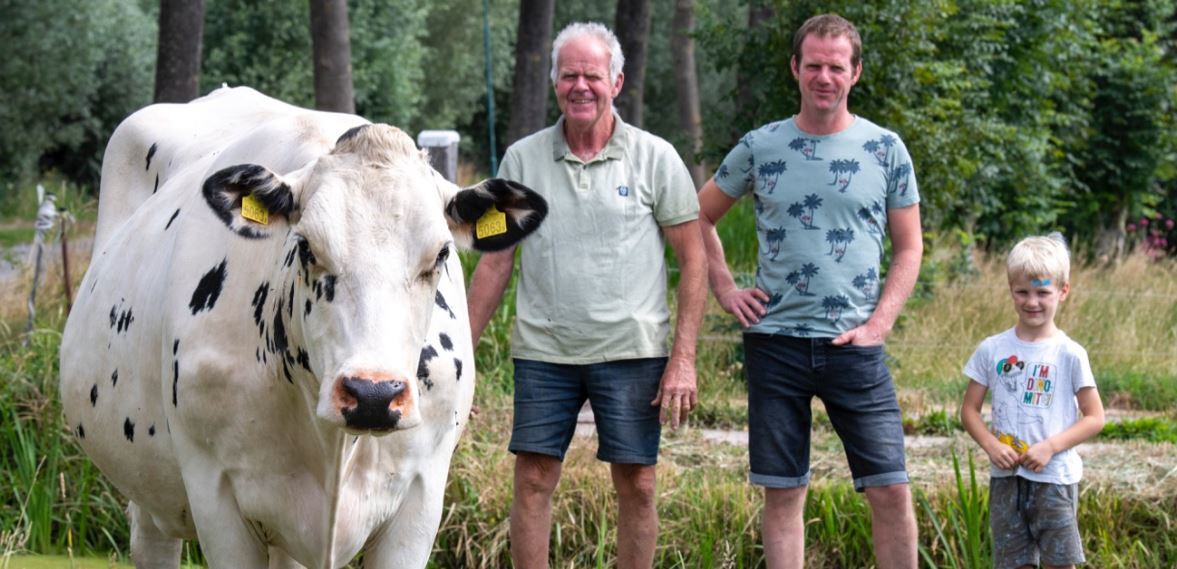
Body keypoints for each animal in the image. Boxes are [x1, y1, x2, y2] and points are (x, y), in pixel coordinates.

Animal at [59, 85, 546, 569]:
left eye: (441, 254)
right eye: (306, 246)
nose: (373, 395)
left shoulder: (421, 499)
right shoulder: (215, 498)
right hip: (148, 491)